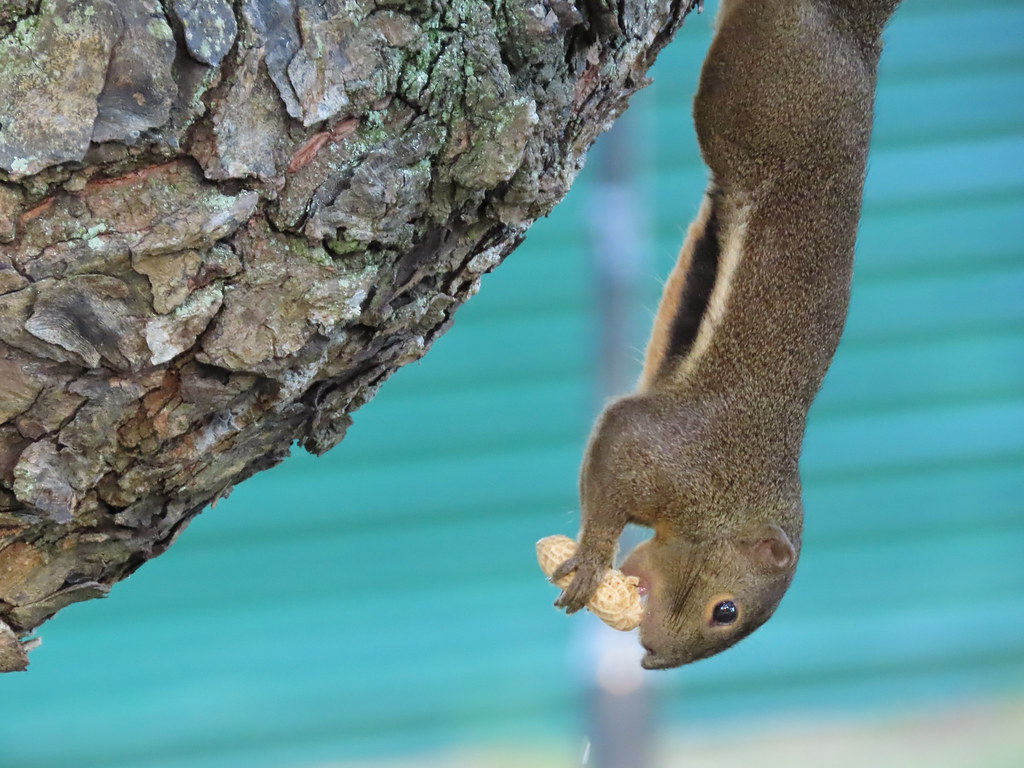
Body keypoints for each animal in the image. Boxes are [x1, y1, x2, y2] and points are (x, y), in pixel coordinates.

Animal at [552, 0, 902, 669]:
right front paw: (591, 559)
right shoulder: (670, 455)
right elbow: (615, 451)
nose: (652, 659)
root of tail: (858, 37)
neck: (730, 499)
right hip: (760, 98)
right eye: (726, 610)